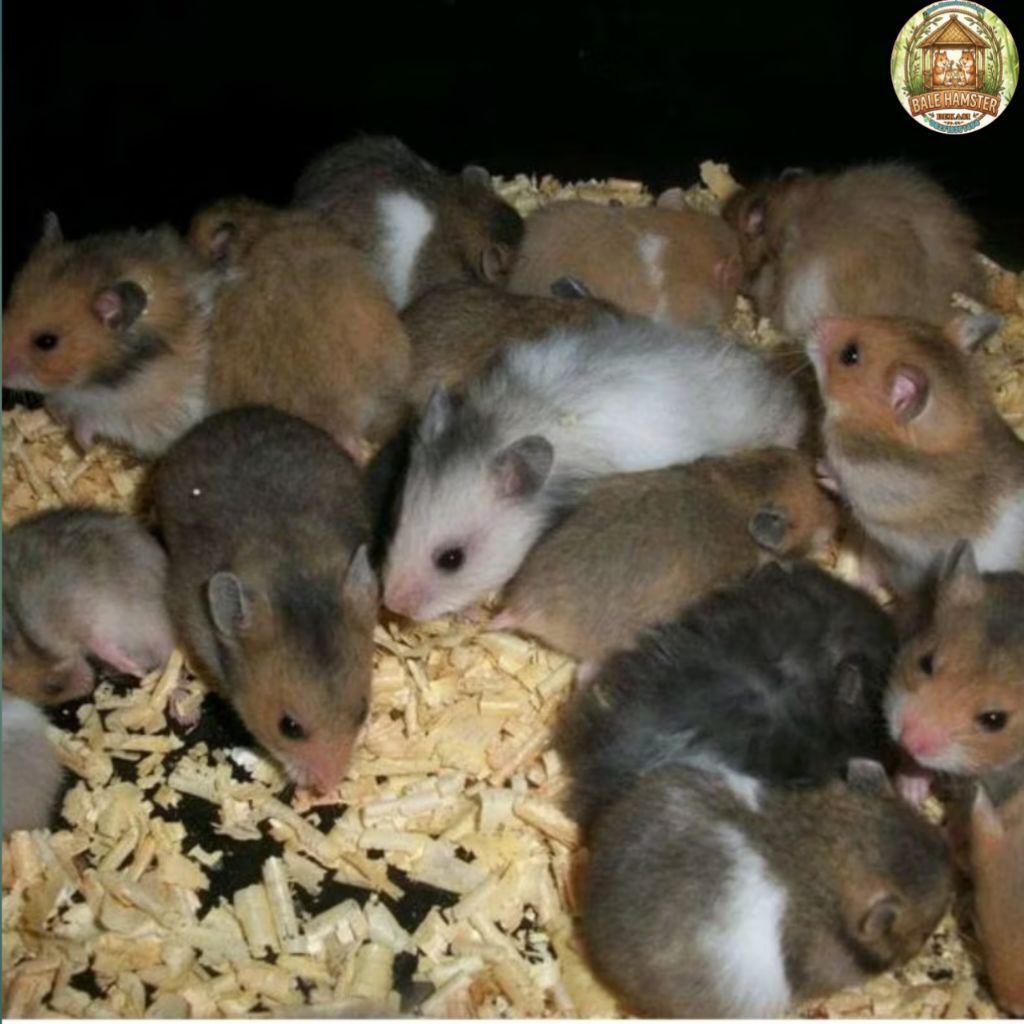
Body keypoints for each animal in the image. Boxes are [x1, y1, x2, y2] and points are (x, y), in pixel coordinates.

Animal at [2, 214, 213, 455]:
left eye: (46, 342)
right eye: (7, 309)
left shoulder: (149, 418)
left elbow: (94, 422)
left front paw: (85, 447)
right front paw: (58, 415)